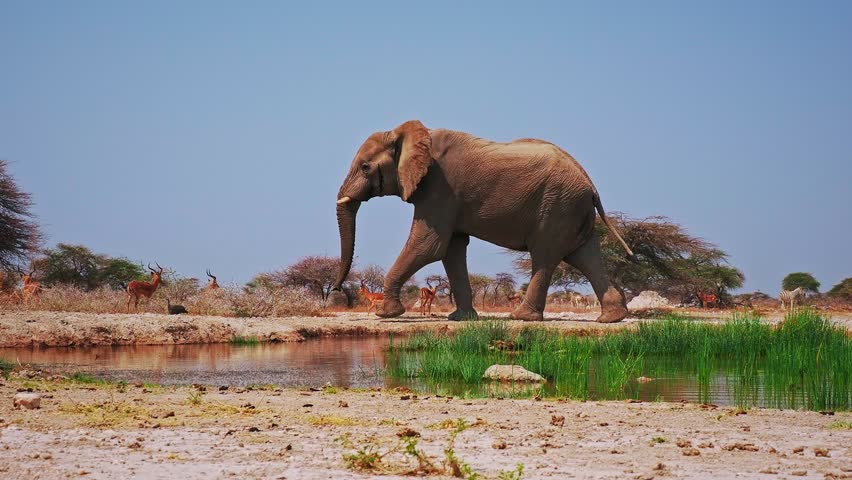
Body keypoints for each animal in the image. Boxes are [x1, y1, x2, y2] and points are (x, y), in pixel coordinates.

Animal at [333, 120, 634, 323]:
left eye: (365, 167)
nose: (335, 289)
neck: (409, 134)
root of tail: (590, 184)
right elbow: (452, 249)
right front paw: (461, 318)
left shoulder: (440, 188)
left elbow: (430, 246)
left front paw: (386, 314)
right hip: (572, 209)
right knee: (585, 256)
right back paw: (612, 318)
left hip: (558, 205)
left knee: (545, 256)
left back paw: (522, 317)